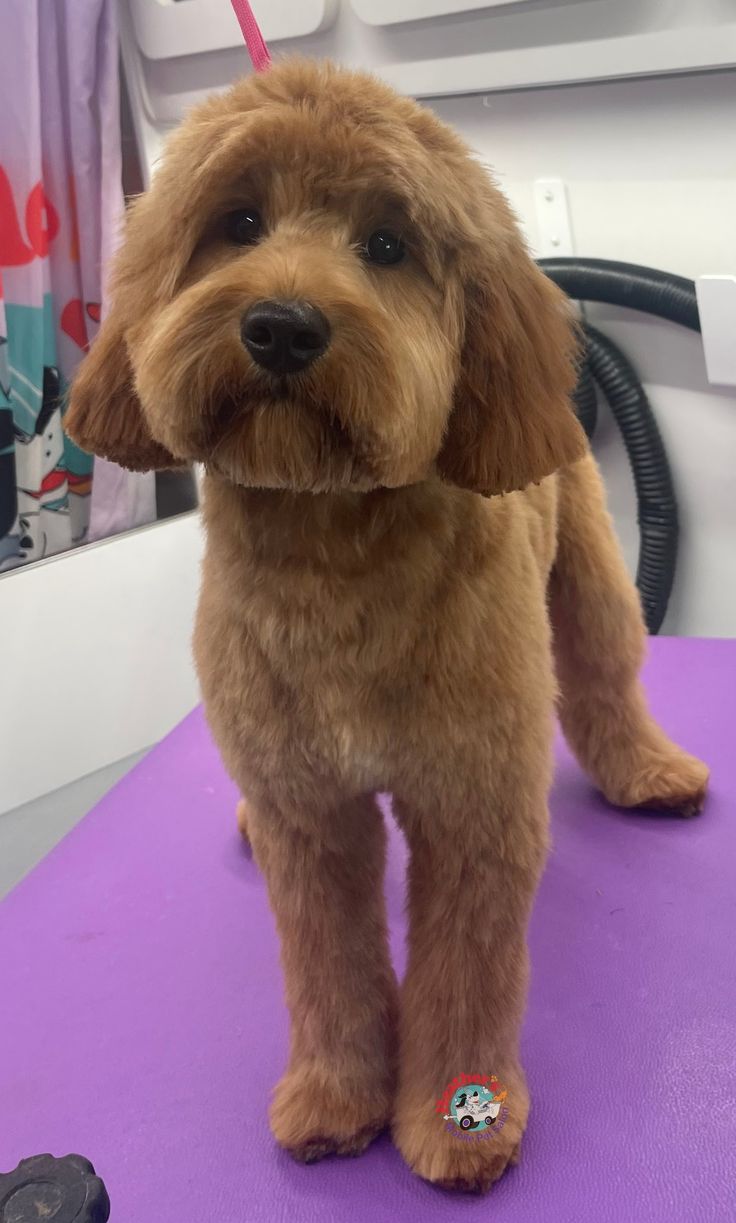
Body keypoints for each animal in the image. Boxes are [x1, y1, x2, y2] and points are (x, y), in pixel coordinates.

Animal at [66, 59, 709, 1193]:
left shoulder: (474, 804)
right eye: (238, 221)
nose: (282, 325)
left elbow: (467, 970)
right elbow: (325, 962)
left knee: (606, 673)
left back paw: (650, 771)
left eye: (386, 244)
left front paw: (462, 1121)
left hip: (590, 576)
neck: (333, 556)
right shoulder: (311, 814)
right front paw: (334, 1096)